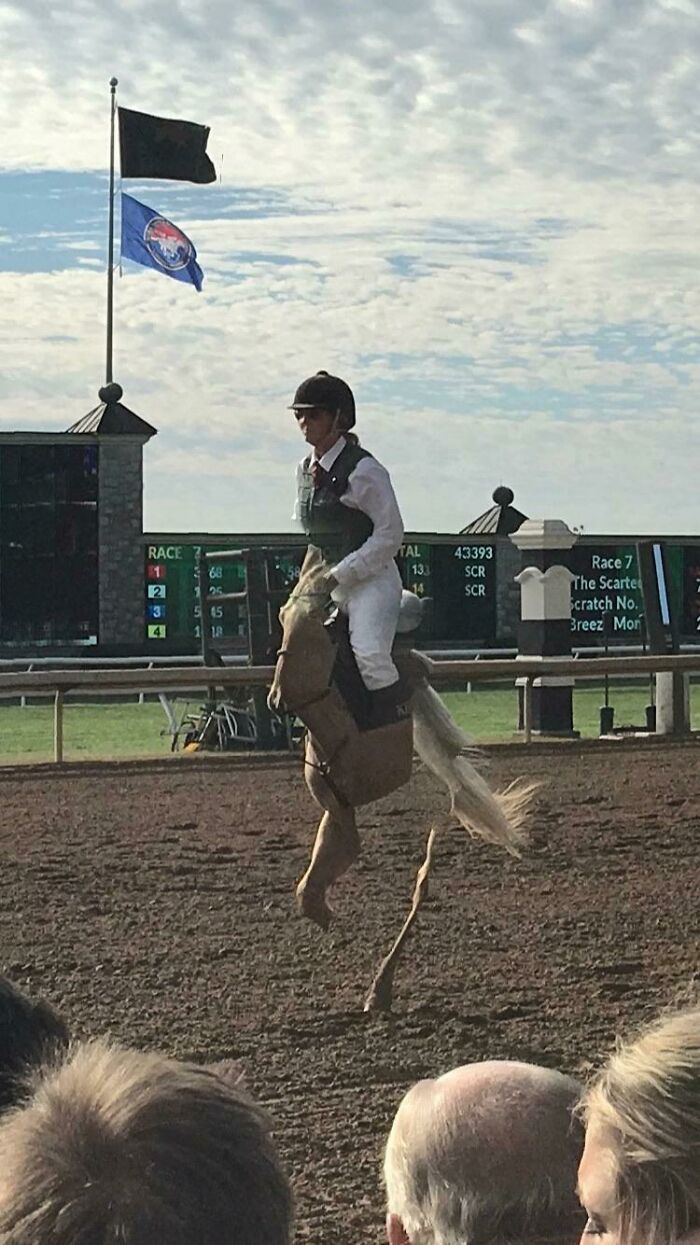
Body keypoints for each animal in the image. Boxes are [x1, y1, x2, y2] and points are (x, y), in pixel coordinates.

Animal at [268, 545, 538, 1010]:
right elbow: (309, 887)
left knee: (420, 889)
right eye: (283, 616)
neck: (341, 724)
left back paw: (381, 988)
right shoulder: (338, 811)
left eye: (317, 621)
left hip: (426, 825)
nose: (277, 696)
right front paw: (323, 912)